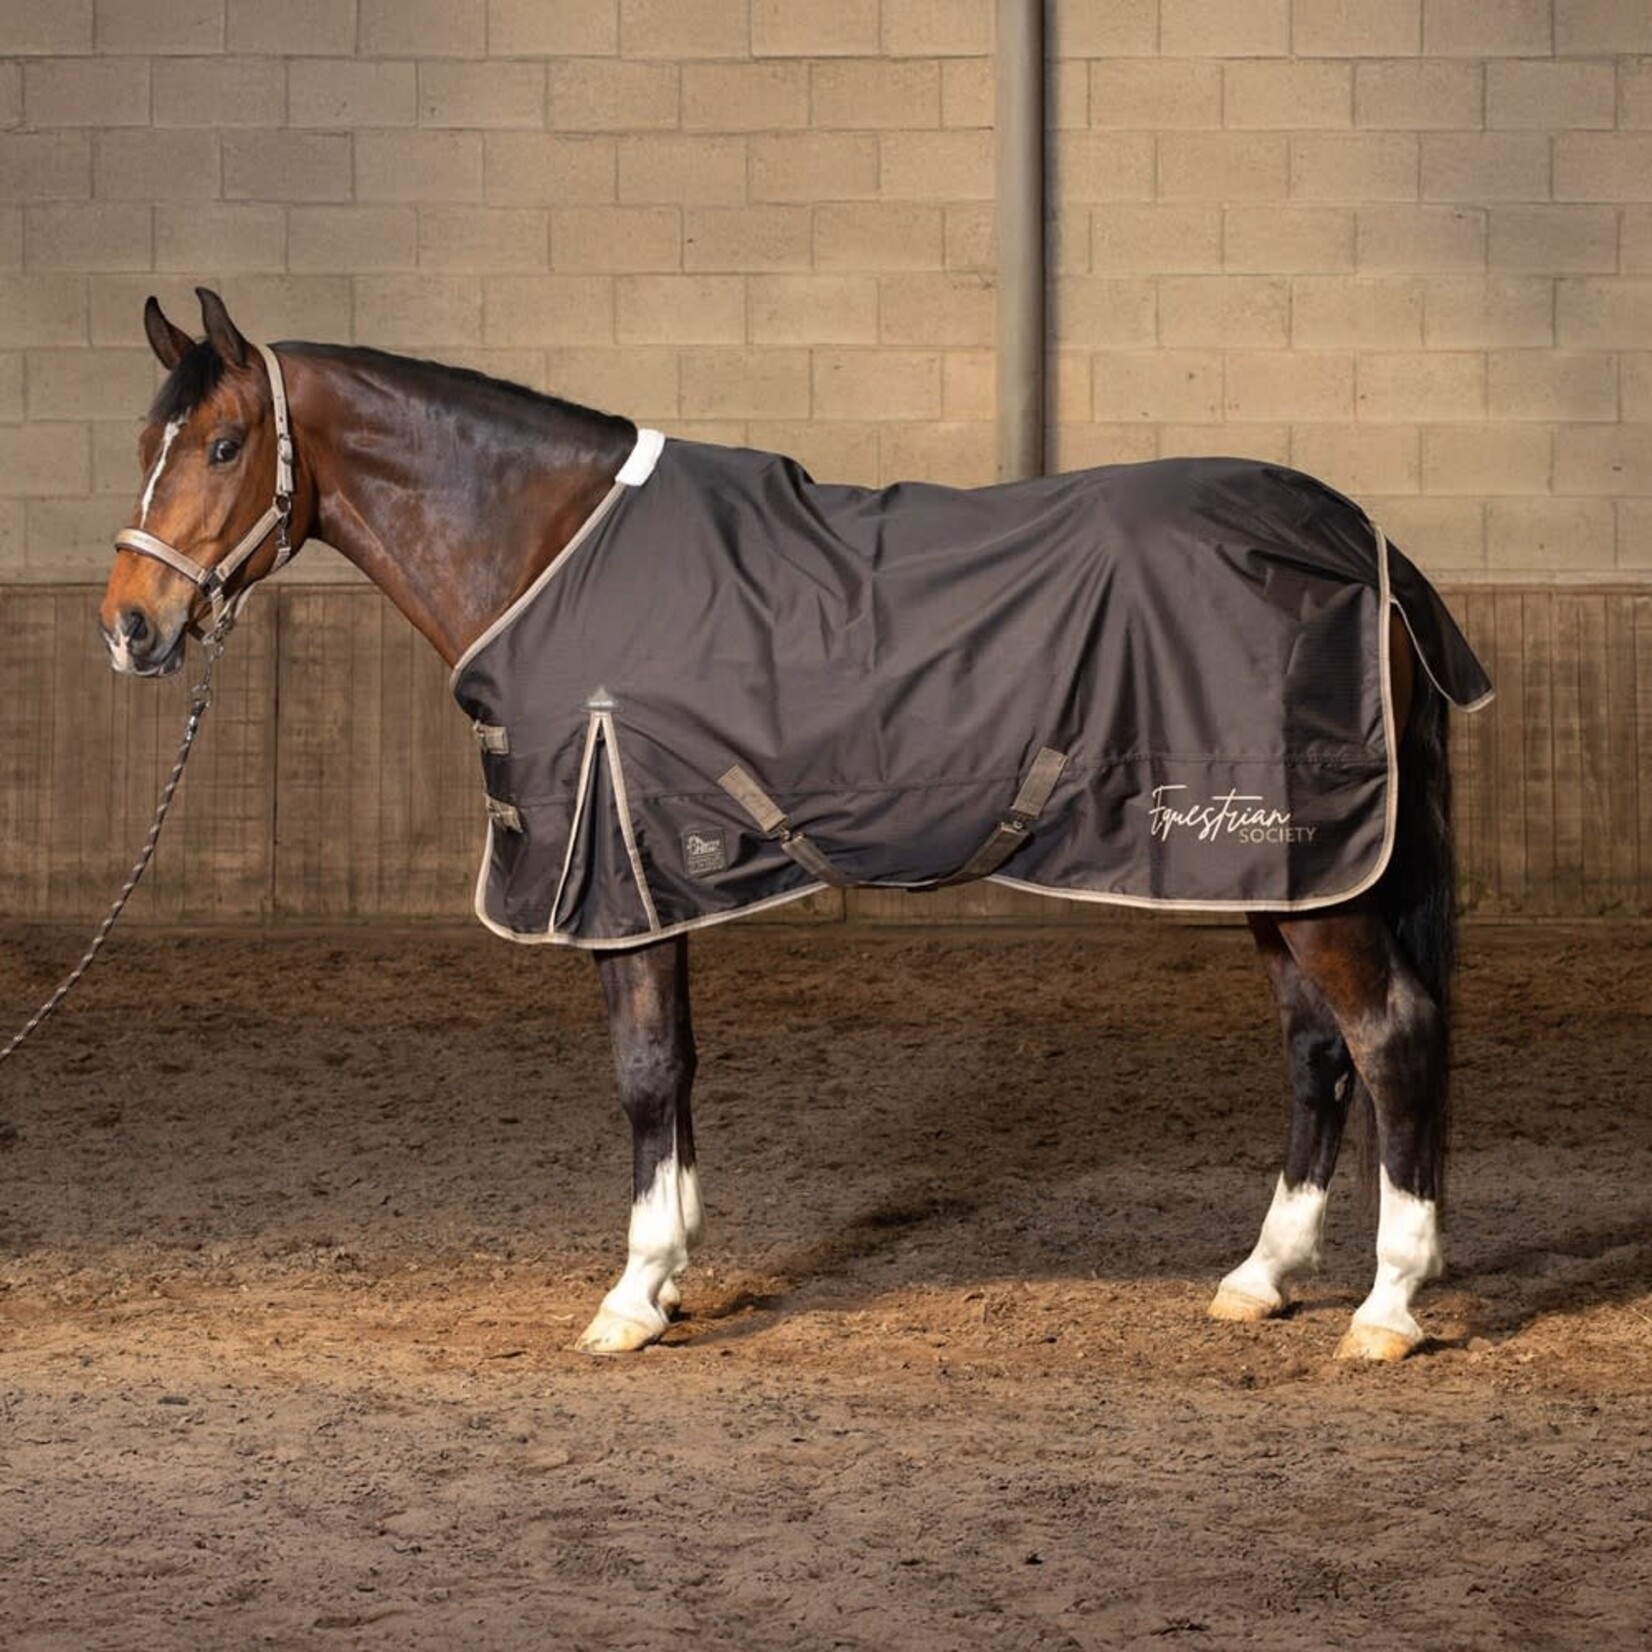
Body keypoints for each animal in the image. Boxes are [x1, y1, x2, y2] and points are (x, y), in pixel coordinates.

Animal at [100, 289, 1490, 1361]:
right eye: (146, 439)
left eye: (223, 445)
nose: (129, 626)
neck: (552, 551)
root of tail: (1362, 544)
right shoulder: (657, 872)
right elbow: (677, 1071)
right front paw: (666, 1276)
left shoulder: (620, 873)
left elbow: (644, 1072)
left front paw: (629, 1297)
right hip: (1269, 865)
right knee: (1313, 1051)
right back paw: (1260, 1277)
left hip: (1307, 871)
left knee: (1389, 1033)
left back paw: (1385, 1305)